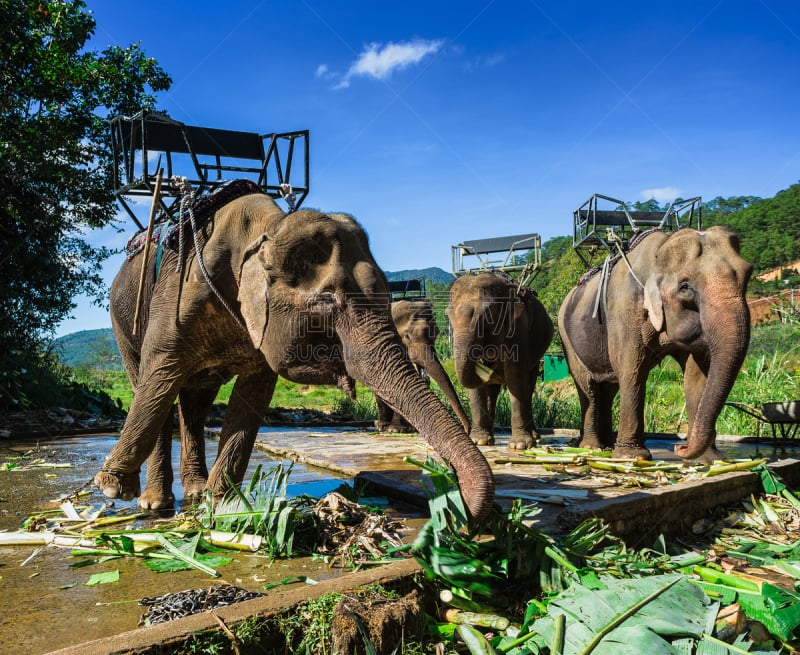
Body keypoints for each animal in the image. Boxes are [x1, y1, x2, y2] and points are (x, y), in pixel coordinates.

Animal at [374, 298, 468, 434]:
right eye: (407, 336)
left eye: (435, 334)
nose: (466, 430)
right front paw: (395, 430)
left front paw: (404, 428)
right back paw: (382, 426)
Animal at [446, 272, 552, 452]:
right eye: (448, 315)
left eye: (487, 314)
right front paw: (478, 441)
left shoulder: (518, 327)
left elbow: (515, 377)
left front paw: (520, 445)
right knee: (494, 390)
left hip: (538, 355)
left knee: (529, 387)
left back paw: (534, 436)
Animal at [560, 228, 752, 464]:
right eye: (685, 287)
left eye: (748, 275)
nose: (680, 447)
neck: (661, 248)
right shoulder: (624, 308)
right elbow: (631, 368)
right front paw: (632, 457)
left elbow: (697, 373)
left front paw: (708, 461)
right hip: (568, 339)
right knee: (588, 386)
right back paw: (592, 448)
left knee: (608, 387)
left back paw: (606, 445)